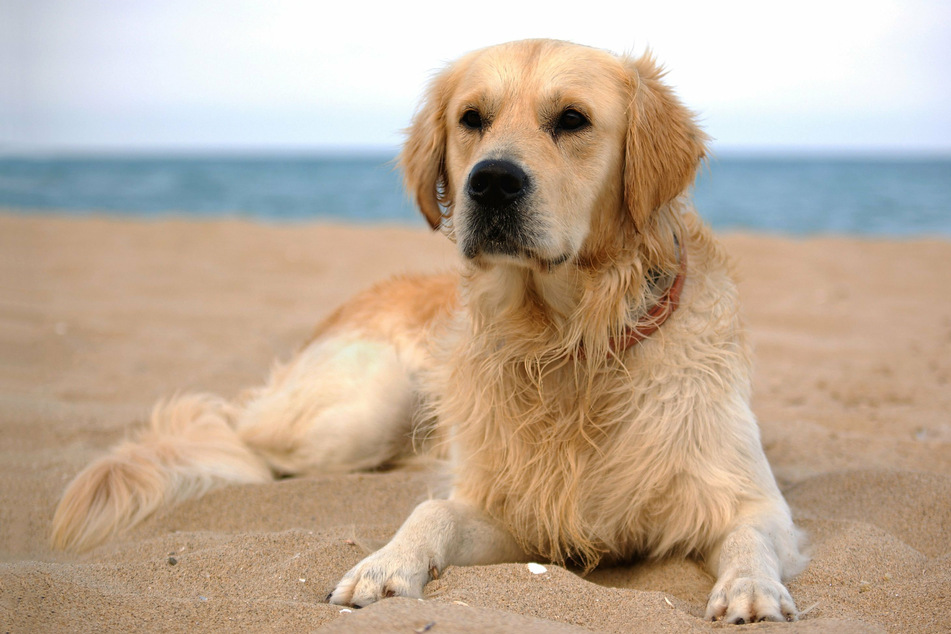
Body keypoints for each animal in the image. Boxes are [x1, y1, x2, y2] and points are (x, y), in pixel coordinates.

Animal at [52, 39, 808, 624]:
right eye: (472, 118)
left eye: (572, 119)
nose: (492, 181)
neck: (566, 343)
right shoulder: (502, 509)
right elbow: (431, 514)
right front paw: (384, 565)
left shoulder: (749, 501)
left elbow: (751, 540)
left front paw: (749, 590)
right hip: (361, 411)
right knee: (232, 433)